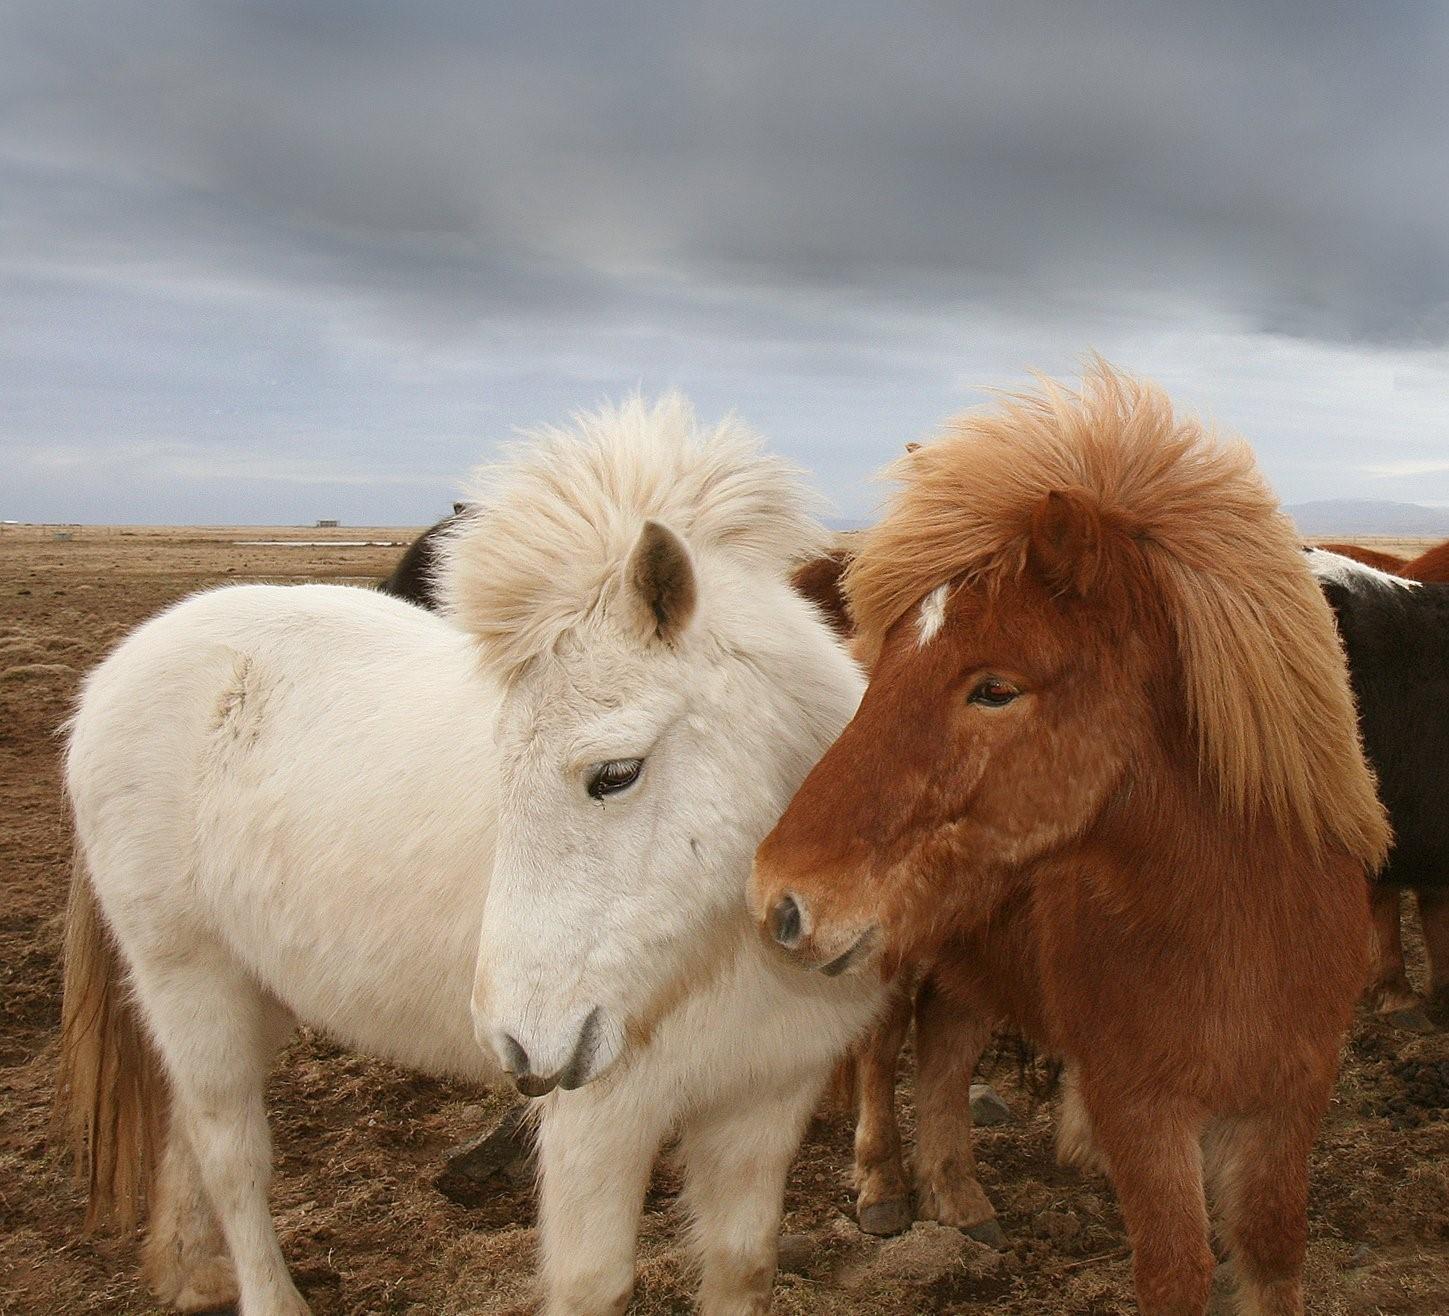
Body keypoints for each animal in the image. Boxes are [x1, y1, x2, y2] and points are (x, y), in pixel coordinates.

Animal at [62, 394, 880, 1316]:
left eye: (614, 773)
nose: (518, 1045)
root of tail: (123, 668)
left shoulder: (763, 1101)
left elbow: (742, 1263)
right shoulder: (601, 1122)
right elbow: (593, 1285)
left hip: (255, 985)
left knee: (190, 1132)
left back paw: (190, 1273)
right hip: (188, 976)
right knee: (232, 1152)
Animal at [753, 368, 1385, 1316]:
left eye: (994, 688)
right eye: (887, 668)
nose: (777, 898)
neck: (1239, 925)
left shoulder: (1287, 1102)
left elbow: (1272, 1255)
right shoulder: (1139, 1107)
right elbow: (1174, 1270)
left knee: (945, 1041)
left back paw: (959, 1195)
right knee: (881, 1045)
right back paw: (884, 1187)